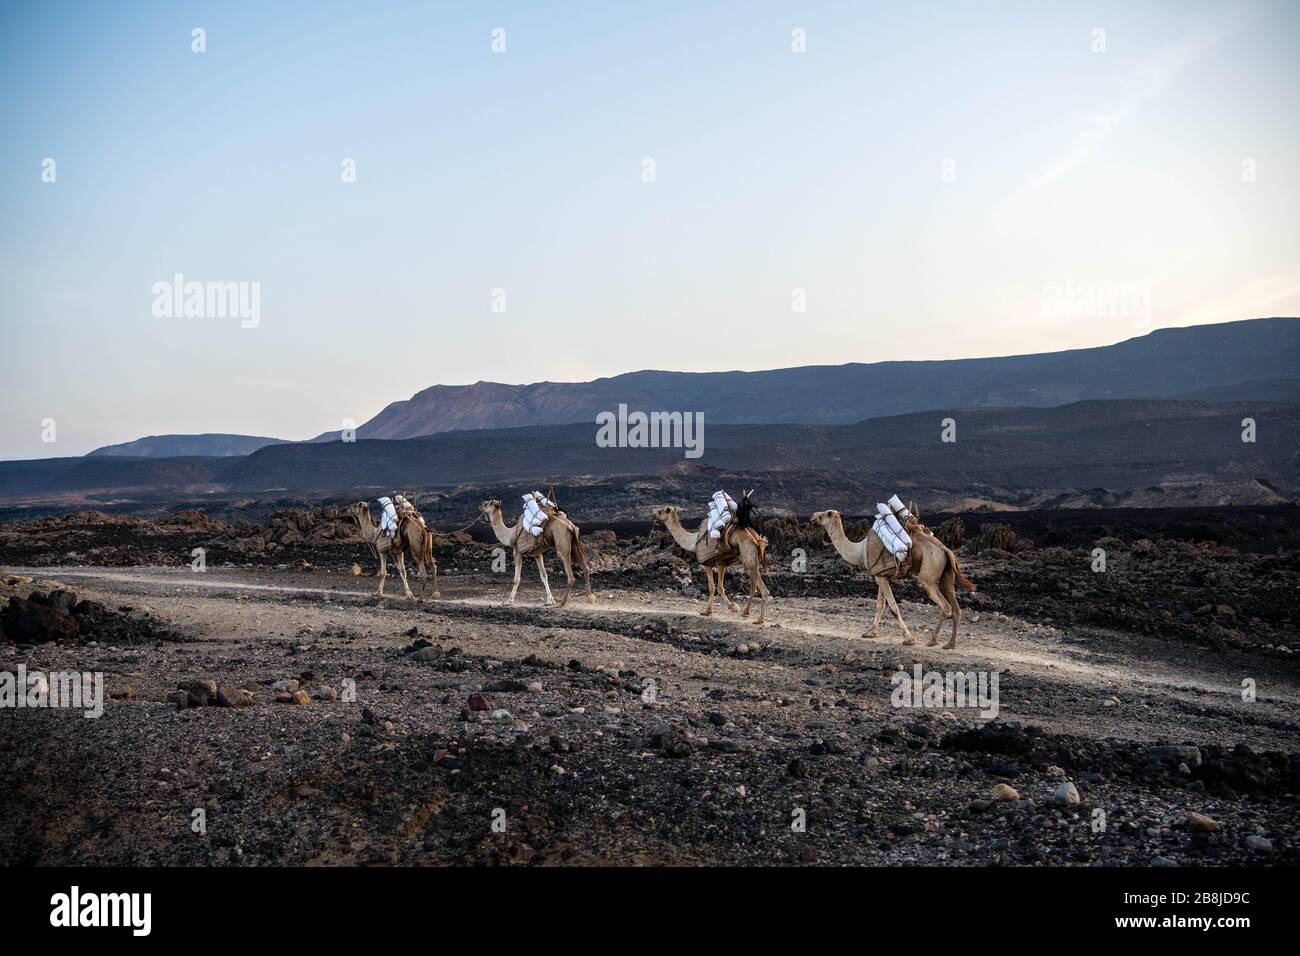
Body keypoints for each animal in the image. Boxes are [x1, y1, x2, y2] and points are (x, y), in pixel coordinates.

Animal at [650, 496, 769, 624]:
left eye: (660, 511)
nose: (652, 514)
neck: (693, 541)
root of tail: (758, 539)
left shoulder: (707, 564)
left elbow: (713, 587)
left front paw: (726, 608)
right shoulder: (721, 563)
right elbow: (719, 587)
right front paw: (711, 611)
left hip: (748, 558)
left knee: (763, 589)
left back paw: (759, 620)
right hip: (752, 561)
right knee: (753, 587)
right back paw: (746, 612)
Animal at [811, 502, 977, 650]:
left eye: (826, 513)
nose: (812, 517)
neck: (860, 551)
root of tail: (946, 550)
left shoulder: (880, 577)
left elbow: (893, 607)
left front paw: (909, 639)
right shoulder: (881, 576)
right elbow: (880, 605)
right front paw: (870, 633)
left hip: (929, 574)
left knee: (945, 605)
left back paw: (933, 640)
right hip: (947, 575)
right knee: (956, 607)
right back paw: (950, 644)